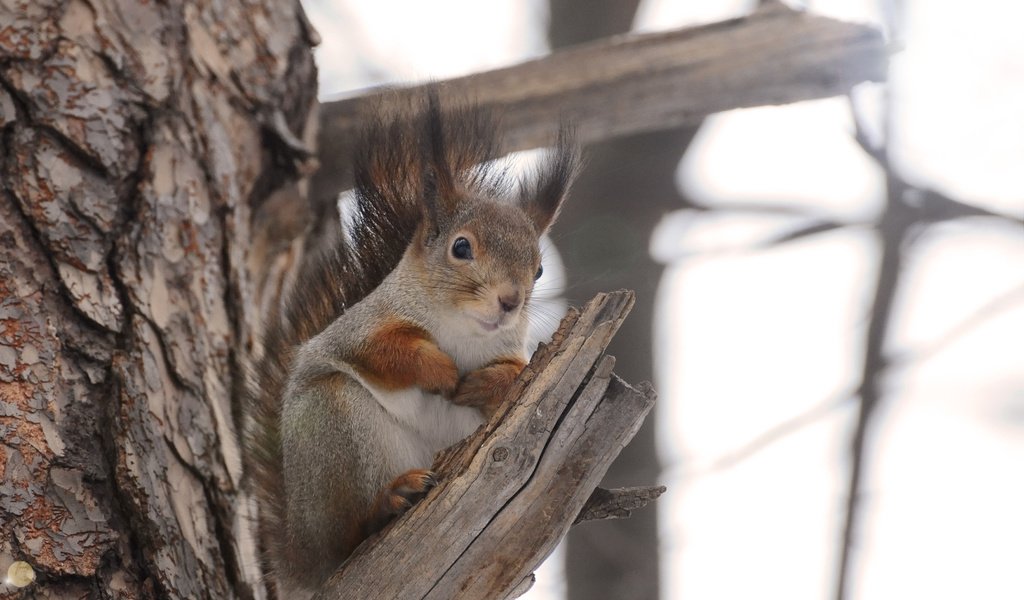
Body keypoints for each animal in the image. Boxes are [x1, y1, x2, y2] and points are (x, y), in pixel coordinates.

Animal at [244, 86, 581, 593]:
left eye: (539, 269)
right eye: (461, 247)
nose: (510, 301)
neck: (462, 331)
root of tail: (301, 564)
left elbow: (518, 377)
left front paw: (485, 384)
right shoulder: (360, 329)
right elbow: (383, 351)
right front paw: (440, 371)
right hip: (330, 426)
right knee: (344, 537)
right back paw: (388, 502)